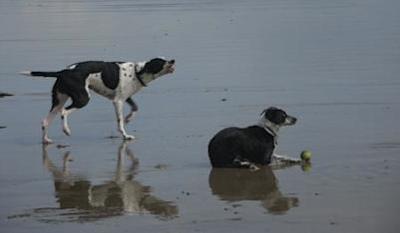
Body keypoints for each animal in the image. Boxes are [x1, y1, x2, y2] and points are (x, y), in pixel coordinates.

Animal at [20, 57, 175, 143]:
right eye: (161, 61)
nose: (173, 60)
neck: (137, 71)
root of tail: (63, 72)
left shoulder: (125, 98)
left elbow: (135, 108)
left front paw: (129, 118)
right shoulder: (117, 102)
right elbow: (120, 122)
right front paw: (125, 135)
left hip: (58, 100)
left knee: (45, 121)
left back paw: (46, 140)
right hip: (82, 98)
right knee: (64, 112)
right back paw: (66, 130)